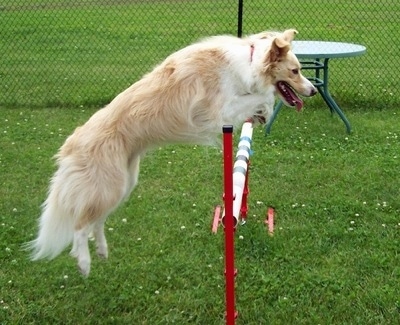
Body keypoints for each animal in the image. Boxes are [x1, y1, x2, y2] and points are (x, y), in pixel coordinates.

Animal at [26, 29, 318, 274]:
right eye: (295, 71)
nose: (314, 90)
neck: (249, 62)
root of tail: (71, 144)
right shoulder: (218, 111)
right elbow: (263, 96)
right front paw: (264, 109)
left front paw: (261, 115)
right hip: (108, 187)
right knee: (79, 225)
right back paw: (84, 263)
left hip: (123, 184)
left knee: (95, 222)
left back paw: (101, 251)